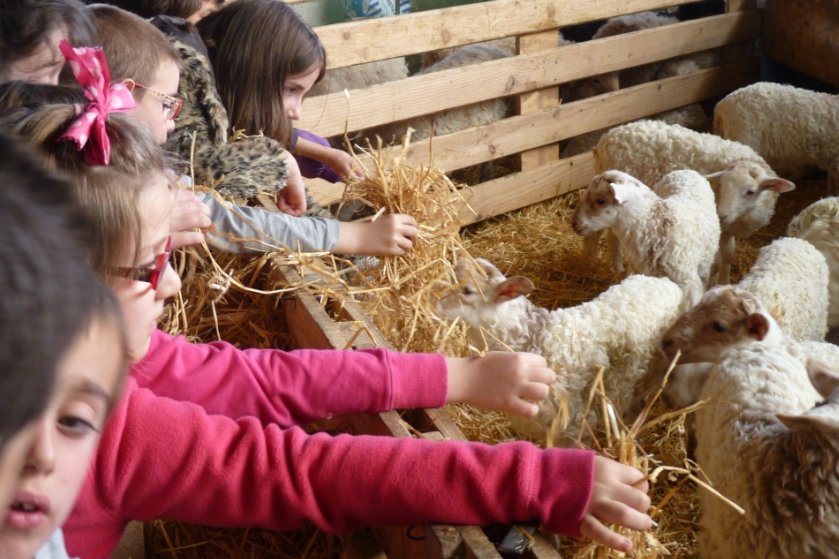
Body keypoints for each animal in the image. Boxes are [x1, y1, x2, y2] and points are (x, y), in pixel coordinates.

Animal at [592, 121, 796, 284]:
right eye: (722, 185)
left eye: (750, 192)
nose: (722, 214)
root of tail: (606, 138)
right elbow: (716, 259)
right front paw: (716, 282)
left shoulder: (728, 228)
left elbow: (728, 254)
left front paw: (724, 280)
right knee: (609, 235)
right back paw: (613, 265)